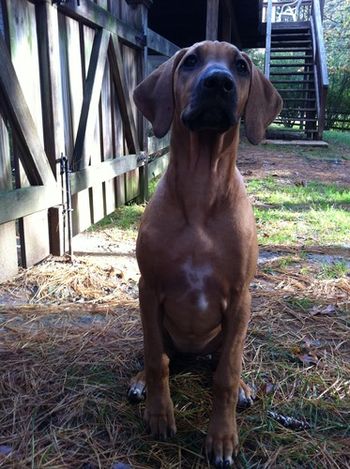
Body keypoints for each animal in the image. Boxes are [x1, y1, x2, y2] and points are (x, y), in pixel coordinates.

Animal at [128, 42, 282, 466]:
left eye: (242, 66)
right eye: (192, 61)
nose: (218, 82)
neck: (201, 188)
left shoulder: (241, 297)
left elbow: (225, 377)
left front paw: (223, 438)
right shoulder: (149, 289)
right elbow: (155, 360)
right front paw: (159, 414)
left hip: (229, 331)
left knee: (224, 363)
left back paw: (244, 387)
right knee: (161, 354)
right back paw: (139, 382)